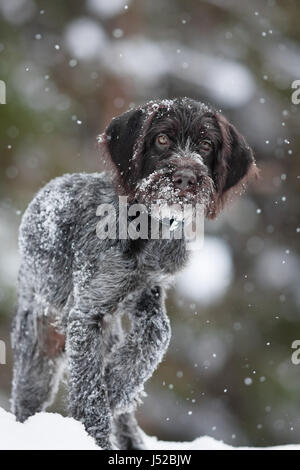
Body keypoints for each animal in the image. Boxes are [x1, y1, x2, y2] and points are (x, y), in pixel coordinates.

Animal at [10, 97, 256, 450]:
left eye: (207, 145)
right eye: (162, 139)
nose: (185, 179)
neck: (148, 228)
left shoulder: (149, 293)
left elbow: (158, 334)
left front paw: (115, 384)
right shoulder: (86, 313)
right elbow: (90, 390)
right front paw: (96, 431)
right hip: (38, 348)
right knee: (27, 401)